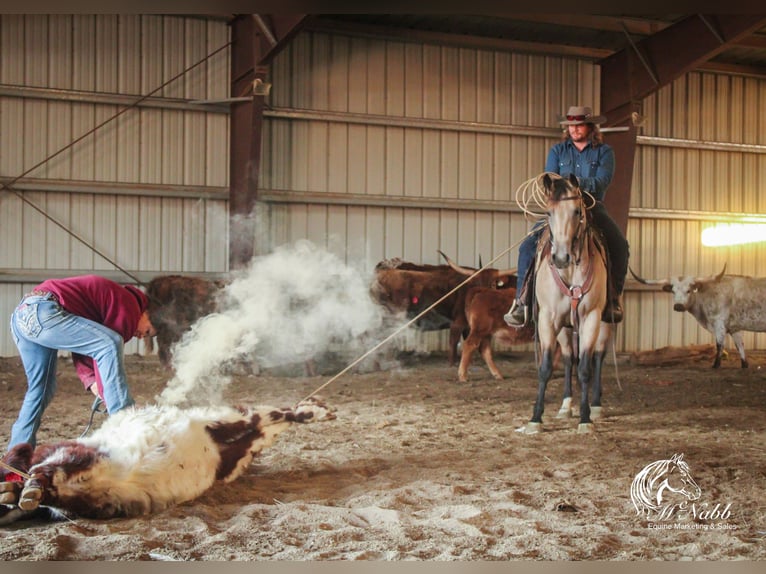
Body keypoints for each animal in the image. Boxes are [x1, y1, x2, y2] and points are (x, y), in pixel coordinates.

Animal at [524, 173, 608, 434]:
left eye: (577, 211)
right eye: (548, 212)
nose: (560, 258)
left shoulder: (591, 317)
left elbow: (585, 369)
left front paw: (585, 418)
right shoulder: (547, 319)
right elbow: (546, 368)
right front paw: (535, 418)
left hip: (604, 324)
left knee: (597, 357)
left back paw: (596, 406)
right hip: (564, 327)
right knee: (570, 358)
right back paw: (565, 406)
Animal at [632, 264, 766, 368]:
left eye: (688, 290)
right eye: (673, 291)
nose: (678, 306)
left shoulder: (719, 323)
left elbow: (719, 345)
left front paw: (715, 365)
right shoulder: (734, 327)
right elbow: (740, 346)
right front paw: (744, 365)